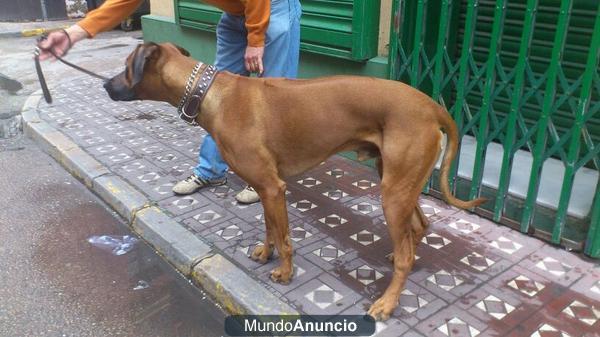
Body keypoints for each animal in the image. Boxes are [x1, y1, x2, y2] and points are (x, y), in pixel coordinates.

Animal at [104, 42, 488, 318]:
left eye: (126, 66)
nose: (105, 84)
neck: (211, 93)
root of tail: (431, 106)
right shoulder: (264, 188)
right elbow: (271, 228)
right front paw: (265, 252)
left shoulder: (274, 188)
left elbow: (286, 238)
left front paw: (286, 273)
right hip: (398, 181)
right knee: (418, 227)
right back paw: (400, 256)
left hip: (392, 192)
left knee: (408, 248)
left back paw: (389, 301)